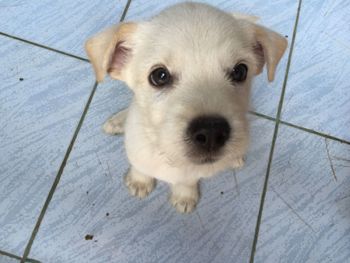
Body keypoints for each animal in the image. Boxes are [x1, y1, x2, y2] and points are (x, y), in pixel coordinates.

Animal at [85, 2, 288, 214]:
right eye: (159, 76)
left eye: (240, 71)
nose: (211, 132)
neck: (167, 156)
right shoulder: (136, 150)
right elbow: (140, 167)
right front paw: (139, 181)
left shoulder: (192, 174)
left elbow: (186, 181)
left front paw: (184, 196)